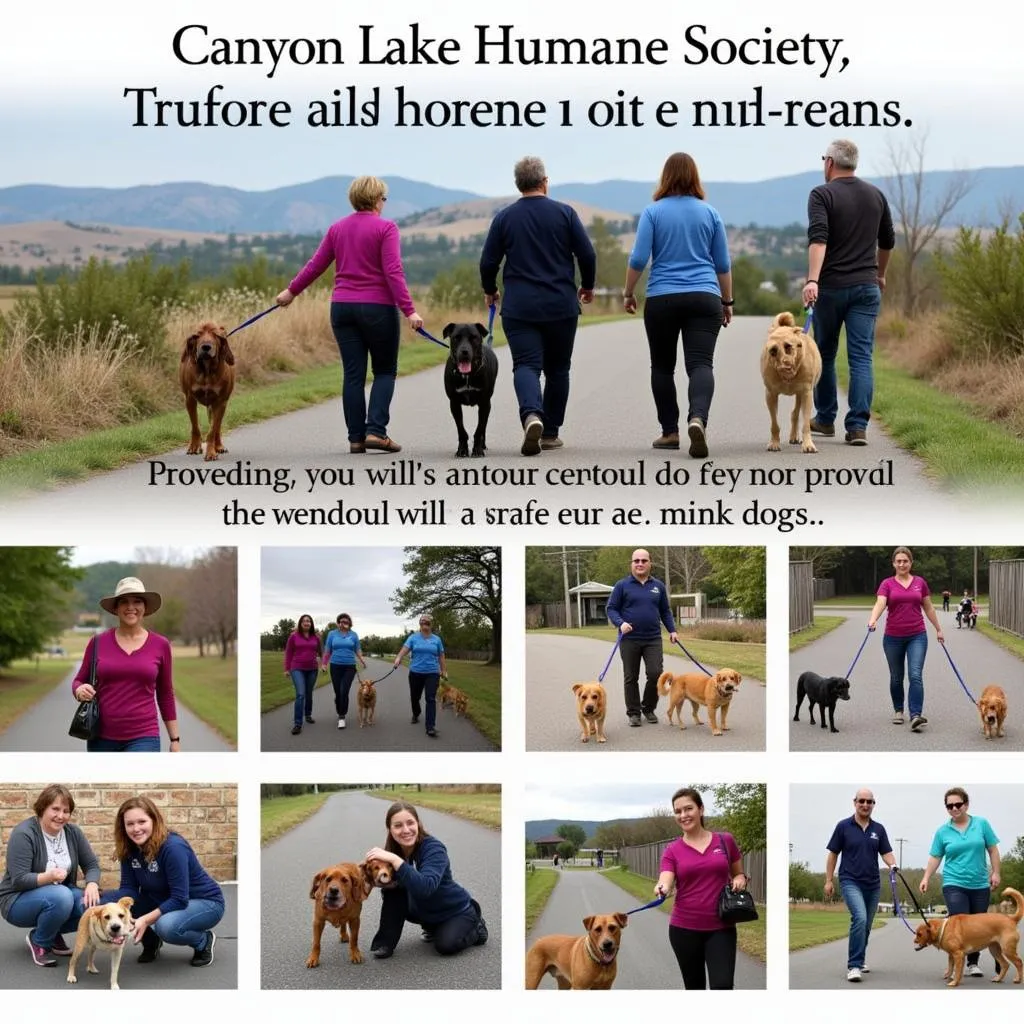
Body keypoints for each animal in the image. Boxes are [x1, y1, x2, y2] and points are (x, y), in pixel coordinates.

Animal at [181, 321, 236, 462]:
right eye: (198, 335)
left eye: (215, 334)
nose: (206, 347)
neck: (206, 370)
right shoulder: (189, 399)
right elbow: (195, 426)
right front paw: (195, 446)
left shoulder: (220, 402)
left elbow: (212, 430)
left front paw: (211, 452)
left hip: (220, 405)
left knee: (217, 427)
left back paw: (219, 446)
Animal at [444, 319, 499, 456]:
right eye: (456, 337)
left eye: (474, 337)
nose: (464, 352)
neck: (467, 375)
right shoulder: (454, 403)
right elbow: (461, 429)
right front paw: (462, 450)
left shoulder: (485, 403)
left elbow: (479, 429)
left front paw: (478, 449)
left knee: (484, 426)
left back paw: (483, 445)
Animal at [761, 309, 823, 454]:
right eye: (773, 351)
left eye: (788, 346)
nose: (785, 363)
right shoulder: (770, 394)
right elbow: (774, 423)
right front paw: (774, 443)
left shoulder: (806, 393)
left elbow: (805, 424)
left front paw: (808, 445)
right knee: (793, 413)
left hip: (800, 393)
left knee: (795, 413)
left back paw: (795, 436)